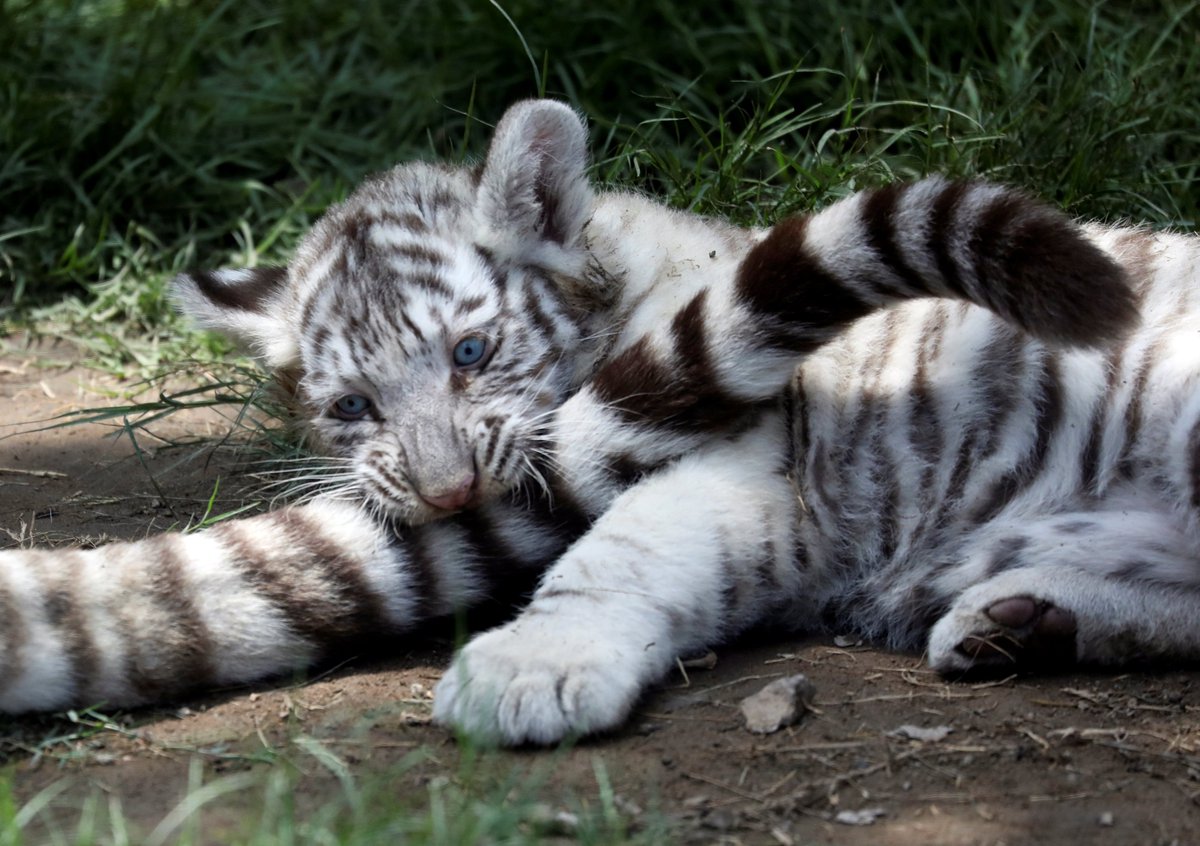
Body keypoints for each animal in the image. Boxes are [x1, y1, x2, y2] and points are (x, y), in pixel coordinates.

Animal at [2, 99, 1193, 746]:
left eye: (472, 354)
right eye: (351, 406)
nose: (446, 490)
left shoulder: (752, 458)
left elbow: (619, 553)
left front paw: (527, 672)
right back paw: (1021, 623)